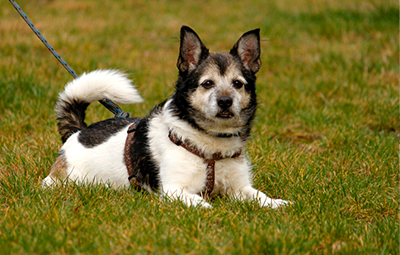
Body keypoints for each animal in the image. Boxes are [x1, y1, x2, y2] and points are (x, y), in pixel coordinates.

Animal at [42, 25, 290, 209]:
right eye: (207, 83)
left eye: (237, 83)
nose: (225, 101)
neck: (211, 144)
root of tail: (78, 131)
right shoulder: (173, 189)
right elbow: (199, 201)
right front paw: (207, 206)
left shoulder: (240, 188)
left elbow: (259, 196)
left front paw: (276, 203)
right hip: (64, 180)